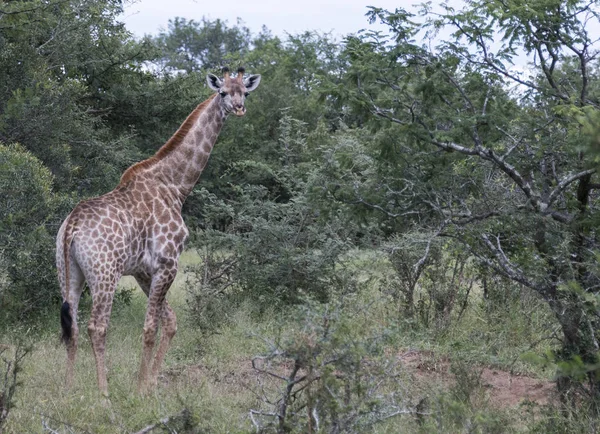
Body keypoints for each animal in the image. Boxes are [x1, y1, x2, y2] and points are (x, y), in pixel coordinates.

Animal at [56, 66, 260, 396]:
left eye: (245, 91)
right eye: (222, 92)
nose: (239, 108)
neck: (175, 185)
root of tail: (71, 226)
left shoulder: (143, 270)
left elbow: (171, 321)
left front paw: (151, 382)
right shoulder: (167, 263)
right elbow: (151, 327)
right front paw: (141, 388)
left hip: (68, 272)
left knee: (71, 325)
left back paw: (69, 389)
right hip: (105, 273)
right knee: (96, 327)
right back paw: (104, 394)